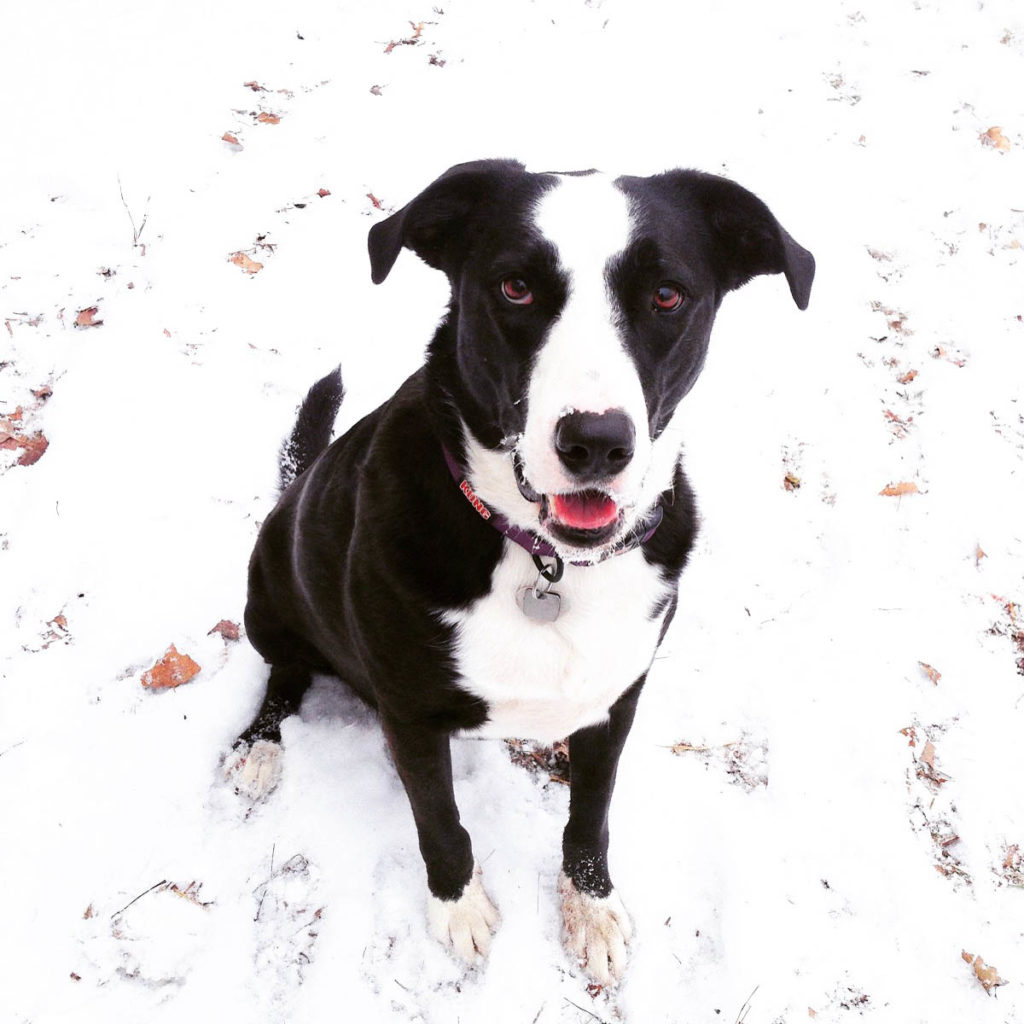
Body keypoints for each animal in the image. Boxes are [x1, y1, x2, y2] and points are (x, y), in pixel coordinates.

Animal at [234, 157, 815, 983]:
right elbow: (440, 822)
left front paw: (591, 906)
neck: (547, 561)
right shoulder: (411, 713)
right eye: (515, 288)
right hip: (267, 597)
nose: (597, 442)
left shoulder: (618, 697)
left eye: (667, 295)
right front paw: (459, 908)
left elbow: (591, 817)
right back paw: (258, 749)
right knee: (282, 676)